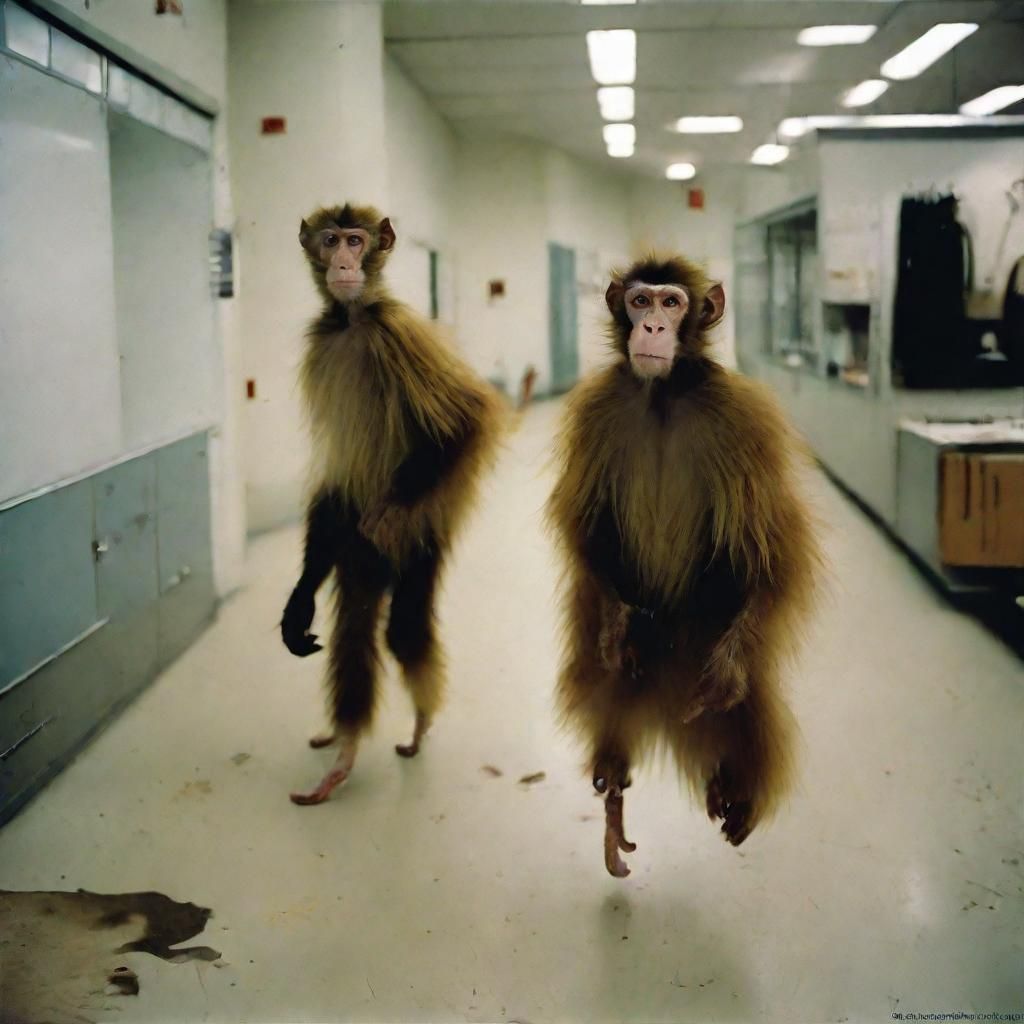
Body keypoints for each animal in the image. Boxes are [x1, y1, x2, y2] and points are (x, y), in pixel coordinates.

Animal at [281, 202, 502, 806]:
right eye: (331, 240)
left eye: (356, 241)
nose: (343, 263)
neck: (351, 322)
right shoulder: (322, 343)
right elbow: (335, 480)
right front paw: (300, 600)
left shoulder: (395, 330)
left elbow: (468, 417)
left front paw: (388, 507)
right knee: (358, 613)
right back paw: (343, 740)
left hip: (420, 540)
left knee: (400, 624)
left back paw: (393, 733)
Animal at [546, 254, 821, 877]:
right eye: (639, 302)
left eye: (671, 303)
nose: (651, 328)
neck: (663, 396)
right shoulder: (598, 408)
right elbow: (585, 528)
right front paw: (616, 624)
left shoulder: (744, 419)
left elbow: (773, 554)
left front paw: (727, 677)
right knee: (610, 662)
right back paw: (614, 777)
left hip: (705, 628)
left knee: (747, 690)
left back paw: (739, 791)